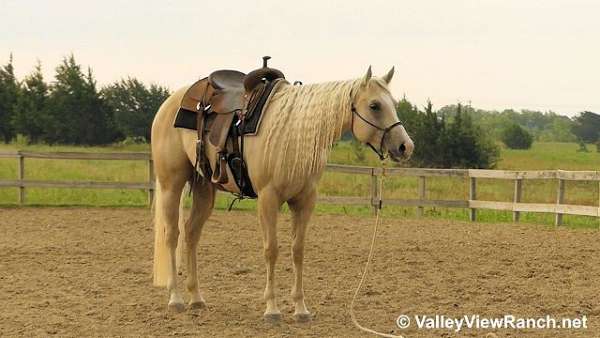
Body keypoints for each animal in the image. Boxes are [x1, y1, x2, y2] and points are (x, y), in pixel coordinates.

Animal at [151, 66, 412, 322]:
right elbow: (272, 250)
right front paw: (272, 309)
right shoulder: (268, 199)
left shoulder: (305, 201)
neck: (293, 133)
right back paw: (175, 298)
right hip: (171, 184)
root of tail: (171, 102)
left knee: (191, 234)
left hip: (204, 188)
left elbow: (298, 250)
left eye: (393, 103)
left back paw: (196, 297)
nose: (405, 146)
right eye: (374, 105)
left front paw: (301, 309)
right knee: (172, 235)